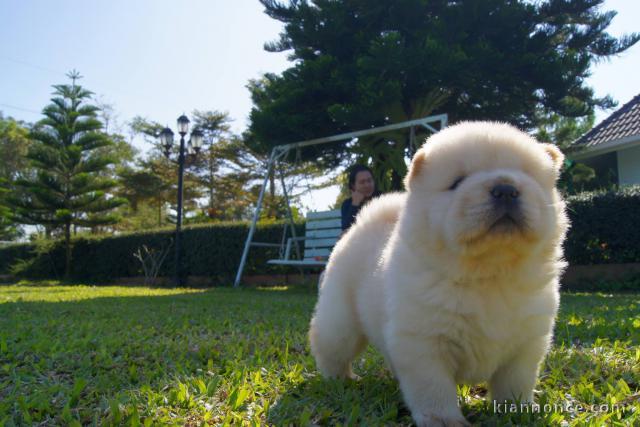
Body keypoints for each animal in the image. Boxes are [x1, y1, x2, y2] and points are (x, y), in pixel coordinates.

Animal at [310, 122, 568, 426]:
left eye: (528, 177)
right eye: (457, 182)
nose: (505, 188)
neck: (490, 274)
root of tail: (362, 224)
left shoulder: (527, 342)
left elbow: (516, 381)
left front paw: (519, 411)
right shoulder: (424, 341)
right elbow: (434, 388)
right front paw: (444, 420)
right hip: (342, 322)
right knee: (329, 346)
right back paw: (340, 379)